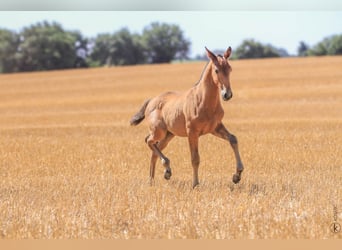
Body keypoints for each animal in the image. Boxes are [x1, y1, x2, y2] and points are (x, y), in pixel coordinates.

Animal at [130, 46, 244, 188]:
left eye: (230, 68)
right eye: (216, 70)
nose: (227, 94)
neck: (203, 101)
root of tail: (151, 101)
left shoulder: (215, 128)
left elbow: (233, 139)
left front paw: (237, 175)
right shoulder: (192, 132)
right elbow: (195, 158)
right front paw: (195, 184)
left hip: (169, 135)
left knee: (154, 148)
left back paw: (154, 178)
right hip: (159, 131)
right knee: (148, 140)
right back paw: (166, 168)